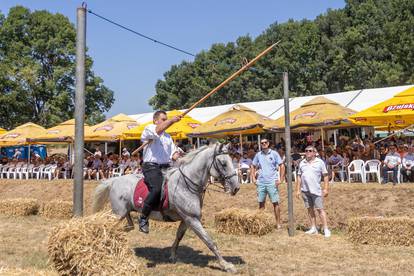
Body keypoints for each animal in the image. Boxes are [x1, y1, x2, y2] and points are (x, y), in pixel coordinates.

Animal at [90, 143, 239, 272]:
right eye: (223, 163)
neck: (187, 184)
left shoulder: (186, 219)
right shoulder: (192, 219)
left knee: (126, 227)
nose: (236, 188)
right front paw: (226, 265)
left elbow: (179, 237)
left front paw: (172, 256)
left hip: (124, 213)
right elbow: (209, 241)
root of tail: (115, 180)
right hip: (118, 214)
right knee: (109, 227)